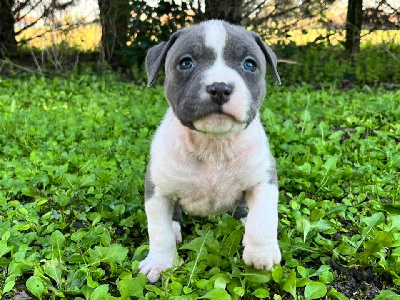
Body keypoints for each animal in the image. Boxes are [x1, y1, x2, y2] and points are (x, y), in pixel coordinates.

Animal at [139, 19, 282, 282]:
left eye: (250, 64)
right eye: (186, 63)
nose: (220, 88)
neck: (213, 144)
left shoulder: (264, 179)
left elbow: (264, 217)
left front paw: (262, 253)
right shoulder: (157, 191)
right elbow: (159, 231)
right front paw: (159, 263)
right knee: (173, 218)